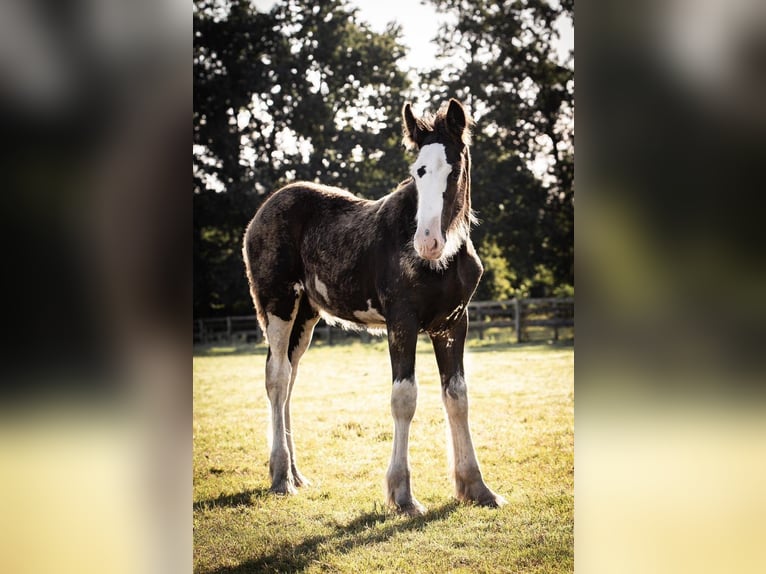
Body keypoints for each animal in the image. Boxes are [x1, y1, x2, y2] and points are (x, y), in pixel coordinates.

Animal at [243, 99, 508, 516]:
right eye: (418, 171)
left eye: (454, 169)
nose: (428, 241)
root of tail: (262, 212)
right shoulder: (402, 321)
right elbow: (404, 399)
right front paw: (403, 495)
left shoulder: (453, 323)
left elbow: (457, 397)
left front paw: (477, 487)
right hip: (278, 304)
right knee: (277, 378)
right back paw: (282, 477)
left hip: (306, 315)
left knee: (289, 376)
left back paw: (295, 474)